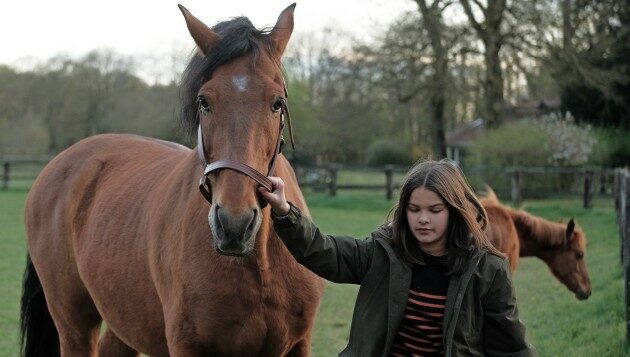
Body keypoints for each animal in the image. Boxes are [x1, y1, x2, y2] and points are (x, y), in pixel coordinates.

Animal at [19, 3, 326, 356]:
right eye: (204, 102)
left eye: (277, 103)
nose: (234, 224)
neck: (259, 266)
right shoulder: (186, 344)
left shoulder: (299, 344)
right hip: (74, 325)